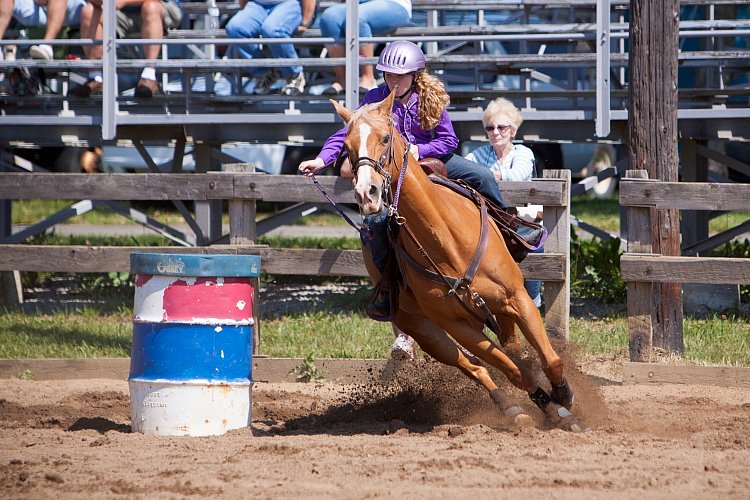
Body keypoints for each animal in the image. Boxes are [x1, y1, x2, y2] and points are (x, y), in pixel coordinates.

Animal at [334, 88, 588, 432]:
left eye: (386, 138)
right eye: (346, 148)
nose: (366, 193)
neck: (447, 242)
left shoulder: (517, 298)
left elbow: (549, 359)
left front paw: (564, 397)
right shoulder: (455, 326)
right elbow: (514, 371)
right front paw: (552, 409)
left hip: (495, 312)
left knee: (512, 348)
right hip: (425, 331)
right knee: (474, 366)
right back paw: (511, 409)